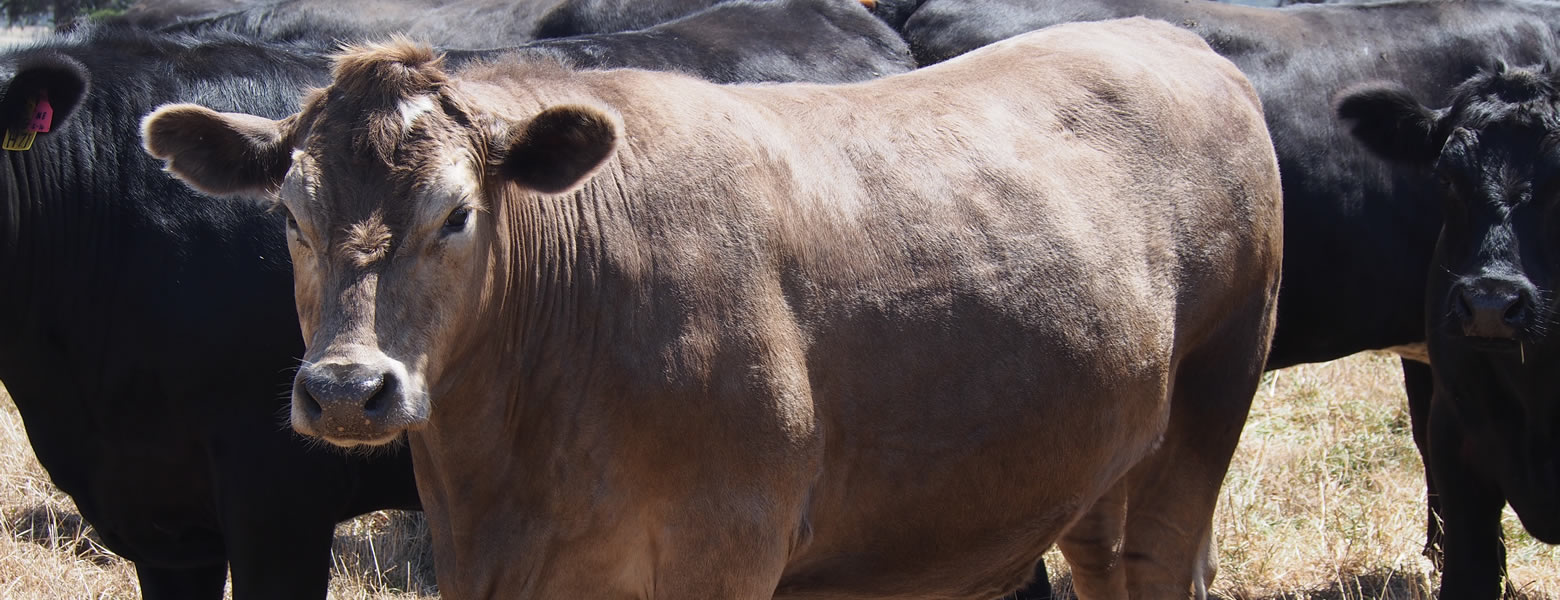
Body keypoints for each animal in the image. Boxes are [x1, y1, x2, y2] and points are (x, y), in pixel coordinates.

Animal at [140, 17, 1272, 592]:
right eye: (291, 215)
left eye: (457, 214)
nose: (345, 389)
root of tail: (1177, 40)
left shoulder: (724, 553)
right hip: (1098, 467)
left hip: (1208, 410)